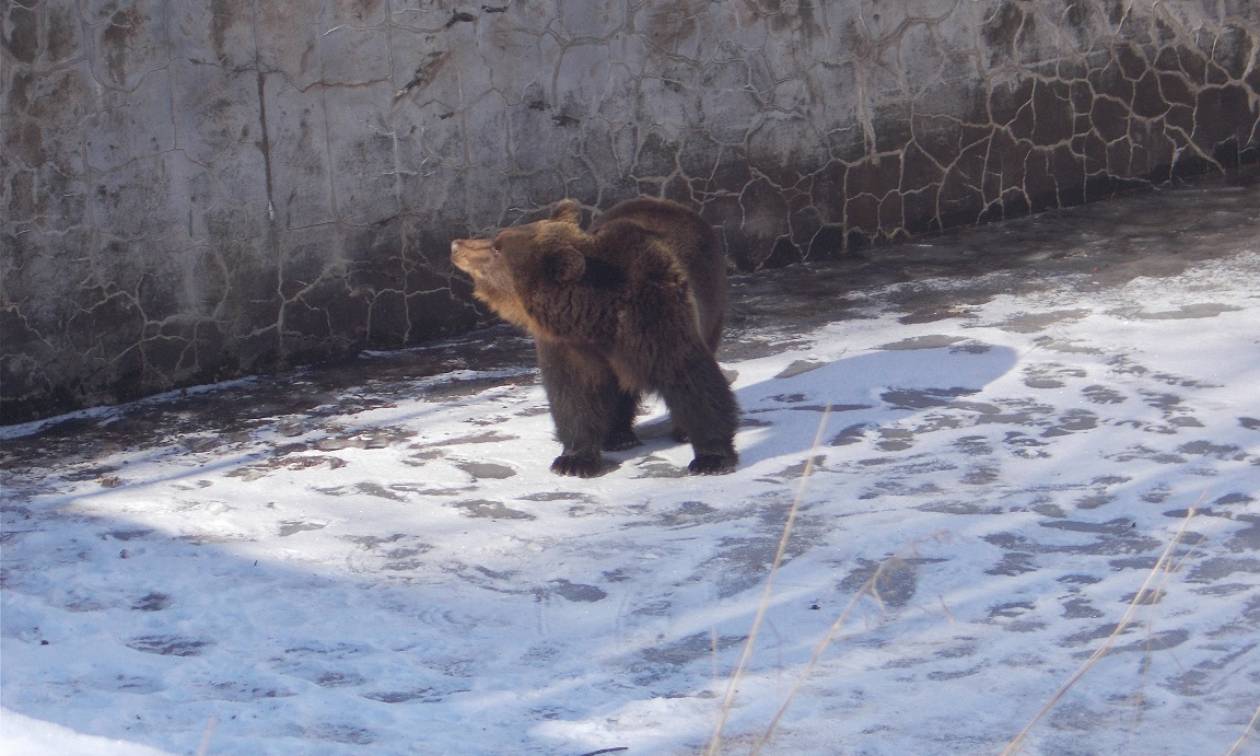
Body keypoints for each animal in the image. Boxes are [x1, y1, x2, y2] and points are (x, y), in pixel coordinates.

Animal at [451, 197, 735, 476]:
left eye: (497, 248)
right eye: (497, 239)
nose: (456, 245)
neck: (595, 317)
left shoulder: (656, 318)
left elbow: (691, 378)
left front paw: (711, 458)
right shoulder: (570, 346)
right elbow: (575, 395)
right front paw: (574, 461)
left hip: (711, 300)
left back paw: (677, 431)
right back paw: (618, 436)